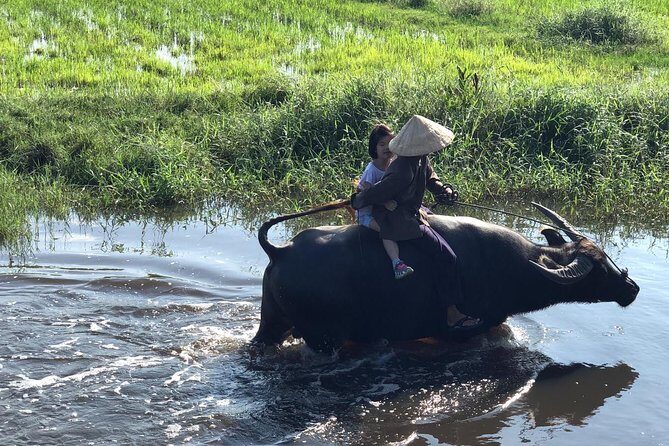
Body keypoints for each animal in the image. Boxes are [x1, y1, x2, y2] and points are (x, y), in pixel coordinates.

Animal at [253, 203, 639, 351]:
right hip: (324, 339)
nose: (632, 288)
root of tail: (280, 250)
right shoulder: (479, 319)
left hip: (271, 323)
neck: (519, 266)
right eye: (599, 269)